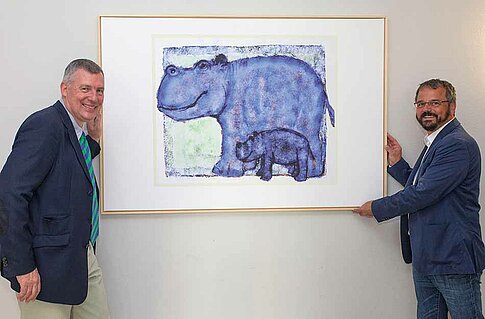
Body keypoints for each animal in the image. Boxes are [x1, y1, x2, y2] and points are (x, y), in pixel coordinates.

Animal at [157, 52, 334, 178]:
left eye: (203, 65)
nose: (170, 69)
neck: (225, 77)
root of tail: (322, 86)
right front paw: (248, 167)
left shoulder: (232, 115)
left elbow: (229, 139)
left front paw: (223, 172)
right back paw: (293, 170)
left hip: (309, 104)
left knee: (310, 136)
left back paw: (311, 173)